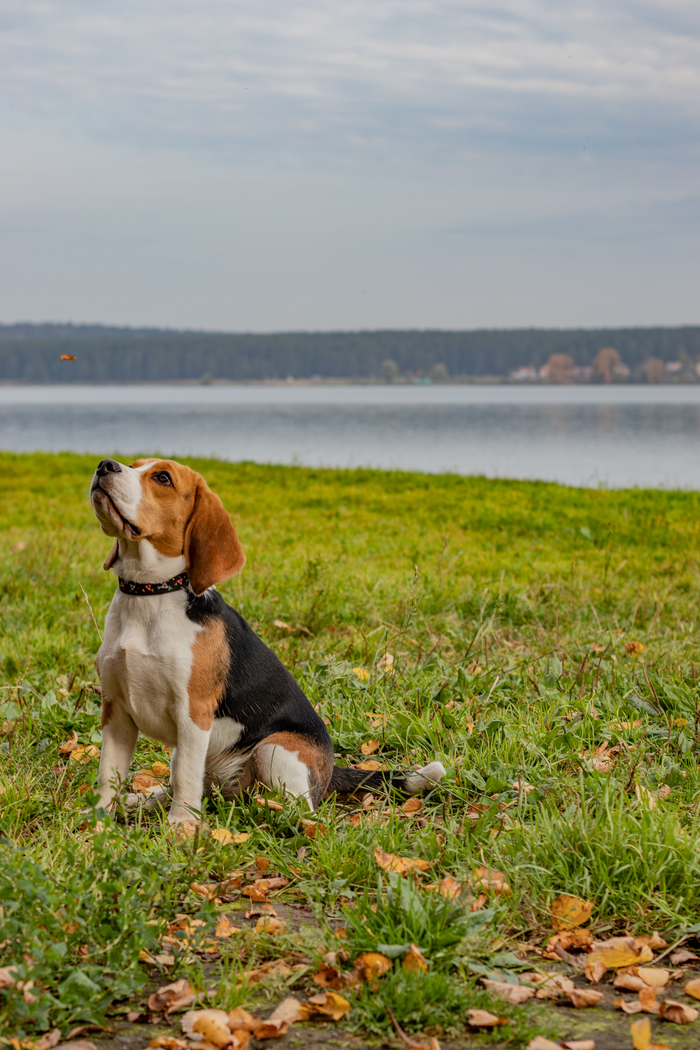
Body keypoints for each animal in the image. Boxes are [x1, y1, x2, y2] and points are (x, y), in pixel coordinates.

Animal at [90, 455, 447, 823]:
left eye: (162, 478)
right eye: (134, 465)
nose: (105, 465)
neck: (149, 595)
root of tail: (329, 771)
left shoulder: (194, 714)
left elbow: (186, 778)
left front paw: (181, 826)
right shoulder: (116, 711)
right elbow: (109, 773)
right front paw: (99, 819)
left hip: (272, 749)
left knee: (298, 810)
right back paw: (144, 800)